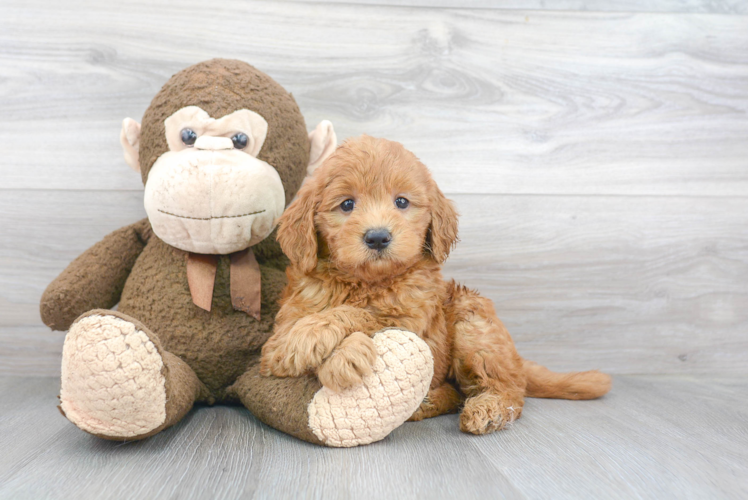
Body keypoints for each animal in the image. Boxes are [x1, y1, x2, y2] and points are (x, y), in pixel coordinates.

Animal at [260, 136, 612, 434]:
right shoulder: (284, 327)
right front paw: (327, 348)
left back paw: (489, 408)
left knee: (510, 390)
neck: (366, 282)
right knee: (459, 392)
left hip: (473, 323)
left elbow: (365, 316)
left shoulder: (414, 325)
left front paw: (327, 347)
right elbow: (299, 338)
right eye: (347, 204)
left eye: (402, 202)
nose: (378, 237)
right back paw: (427, 402)